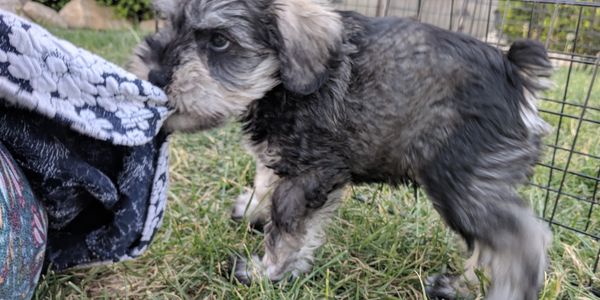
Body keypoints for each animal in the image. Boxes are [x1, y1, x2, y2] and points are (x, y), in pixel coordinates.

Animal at [130, 0, 552, 298]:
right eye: (168, 22)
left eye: (219, 40)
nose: (154, 74)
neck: (284, 81)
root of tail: (513, 73)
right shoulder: (282, 150)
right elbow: (265, 174)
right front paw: (251, 210)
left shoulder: (311, 173)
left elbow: (286, 224)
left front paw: (267, 271)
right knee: (488, 246)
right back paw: (459, 286)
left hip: (458, 182)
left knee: (520, 241)